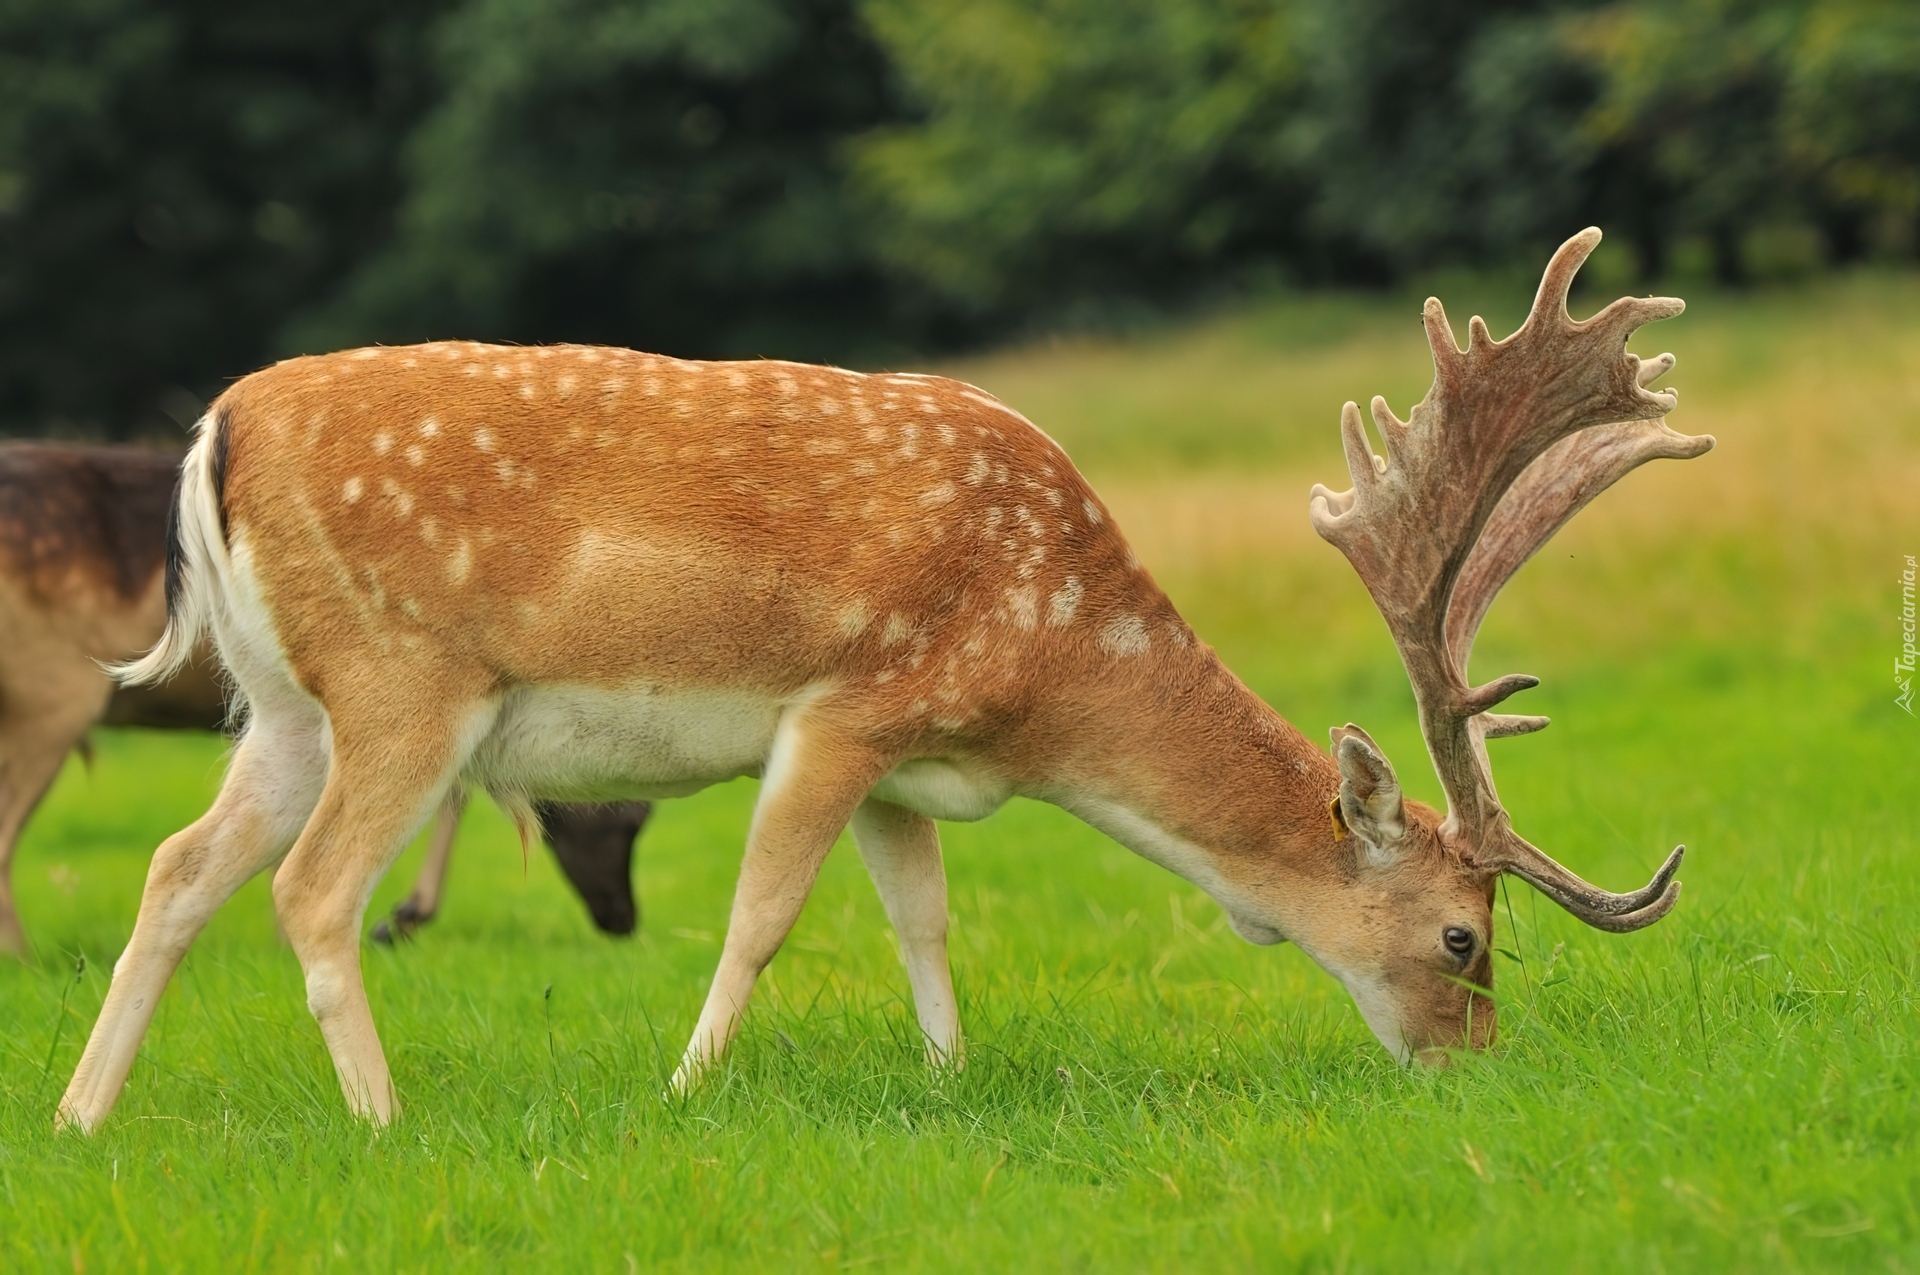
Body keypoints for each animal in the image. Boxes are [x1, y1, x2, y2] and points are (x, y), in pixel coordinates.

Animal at [0, 445, 652, 956]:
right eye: (632, 818)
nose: (624, 920)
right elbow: (455, 791)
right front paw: (400, 918)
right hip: (52, 694)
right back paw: (26, 959)